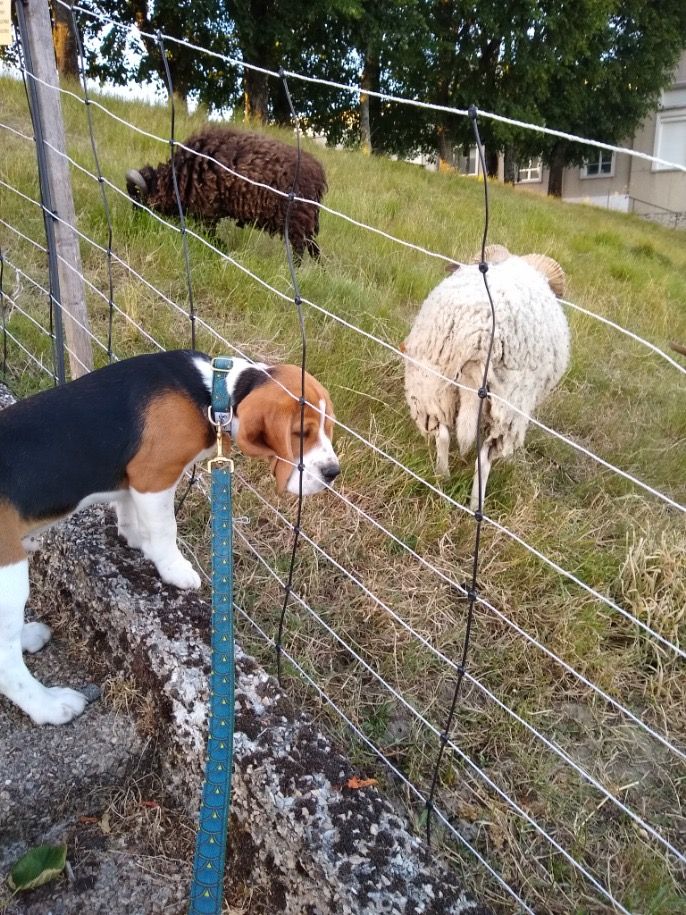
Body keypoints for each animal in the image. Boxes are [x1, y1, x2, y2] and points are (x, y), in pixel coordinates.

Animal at [0, 348, 338, 728]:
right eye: (300, 432)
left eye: (327, 427)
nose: (333, 473)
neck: (213, 391)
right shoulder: (154, 475)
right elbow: (165, 529)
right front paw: (173, 568)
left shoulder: (132, 479)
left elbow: (128, 509)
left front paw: (134, 538)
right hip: (8, 576)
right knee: (6, 666)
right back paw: (50, 705)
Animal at [127, 123, 330, 260]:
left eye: (140, 202)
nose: (135, 226)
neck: (178, 177)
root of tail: (318, 174)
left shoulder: (207, 213)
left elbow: (210, 236)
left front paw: (223, 249)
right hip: (306, 221)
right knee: (313, 248)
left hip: (297, 220)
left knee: (300, 251)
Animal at [406, 247, 572, 508]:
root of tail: (479, 337)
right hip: (509, 406)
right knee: (483, 459)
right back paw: (476, 503)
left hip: (432, 384)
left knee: (442, 434)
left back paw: (442, 479)